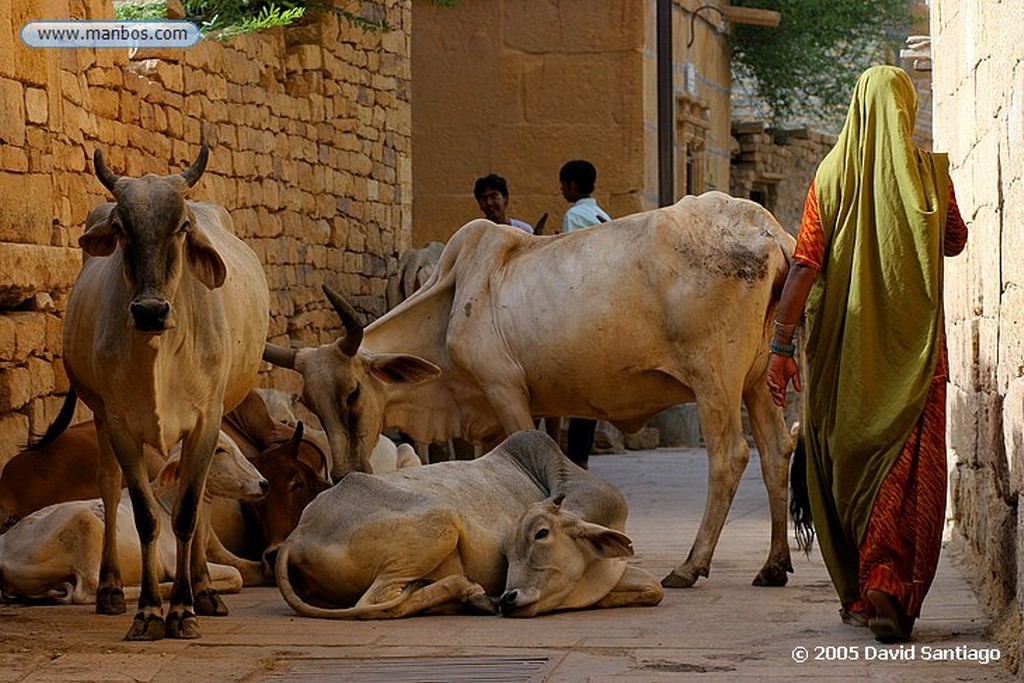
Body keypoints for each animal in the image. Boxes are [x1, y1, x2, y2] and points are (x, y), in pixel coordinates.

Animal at [1, 432, 264, 602]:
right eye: (220, 450)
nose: (264, 483)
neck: (167, 505)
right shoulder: (173, 559)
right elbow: (236, 575)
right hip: (86, 522)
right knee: (87, 589)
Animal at [56, 145, 268, 643]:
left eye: (183, 226)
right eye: (120, 227)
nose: (150, 311)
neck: (159, 350)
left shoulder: (206, 422)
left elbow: (188, 514)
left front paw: (184, 609)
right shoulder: (120, 424)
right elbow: (146, 515)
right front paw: (149, 611)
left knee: (202, 500)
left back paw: (205, 592)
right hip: (99, 417)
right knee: (108, 488)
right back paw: (111, 590)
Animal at [264, 191, 798, 589]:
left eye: (353, 394)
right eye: (309, 402)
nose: (343, 475)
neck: (452, 303)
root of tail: (768, 230)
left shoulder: (506, 393)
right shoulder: (481, 419)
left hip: (715, 381)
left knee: (730, 456)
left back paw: (691, 565)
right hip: (759, 380)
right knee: (776, 452)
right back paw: (773, 565)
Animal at [270, 432, 663, 618]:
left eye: (541, 534)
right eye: (507, 551)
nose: (508, 597)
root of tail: (297, 535)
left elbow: (653, 589)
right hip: (441, 522)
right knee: (376, 603)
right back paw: (469, 591)